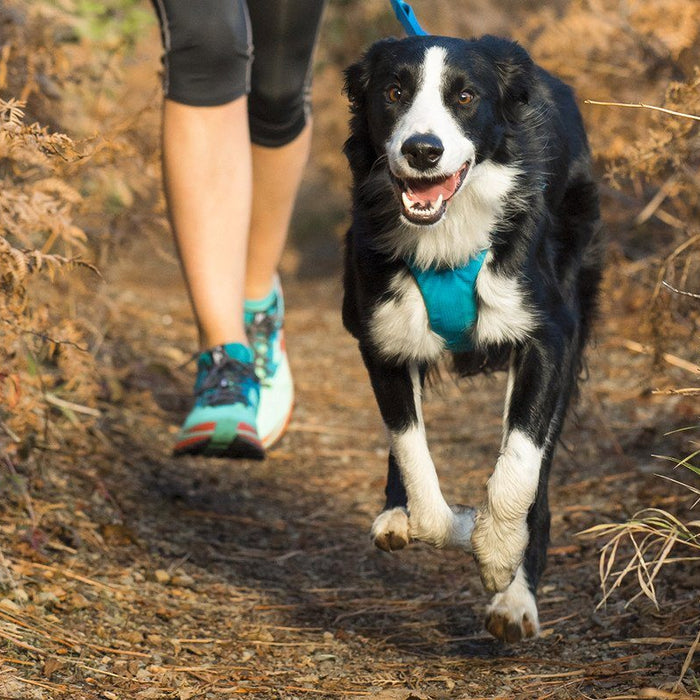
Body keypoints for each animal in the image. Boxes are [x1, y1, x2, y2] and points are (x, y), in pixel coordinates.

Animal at [342, 35, 604, 644]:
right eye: (394, 92)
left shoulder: (548, 335)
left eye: (465, 97)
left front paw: (499, 552)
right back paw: (396, 514)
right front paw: (456, 523)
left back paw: (516, 599)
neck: (446, 234)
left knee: (539, 472)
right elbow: (413, 456)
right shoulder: (382, 338)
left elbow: (521, 463)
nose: (422, 150)